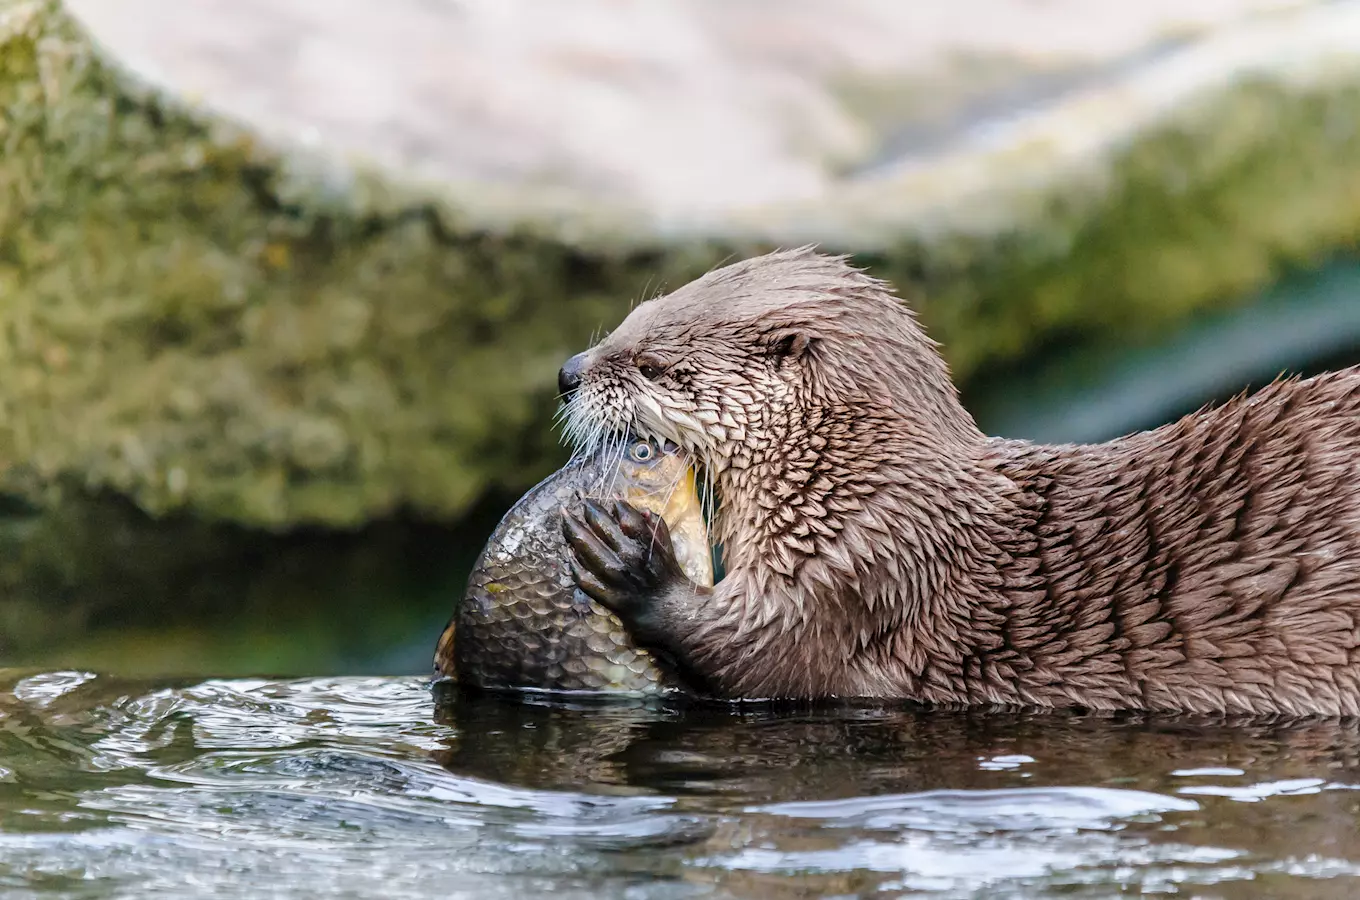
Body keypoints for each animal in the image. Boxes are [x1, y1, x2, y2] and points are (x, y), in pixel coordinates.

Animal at [552, 247, 1360, 717]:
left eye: (654, 364)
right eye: (632, 317)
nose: (567, 373)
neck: (853, 487)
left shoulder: (864, 570)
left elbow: (758, 655)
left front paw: (630, 559)